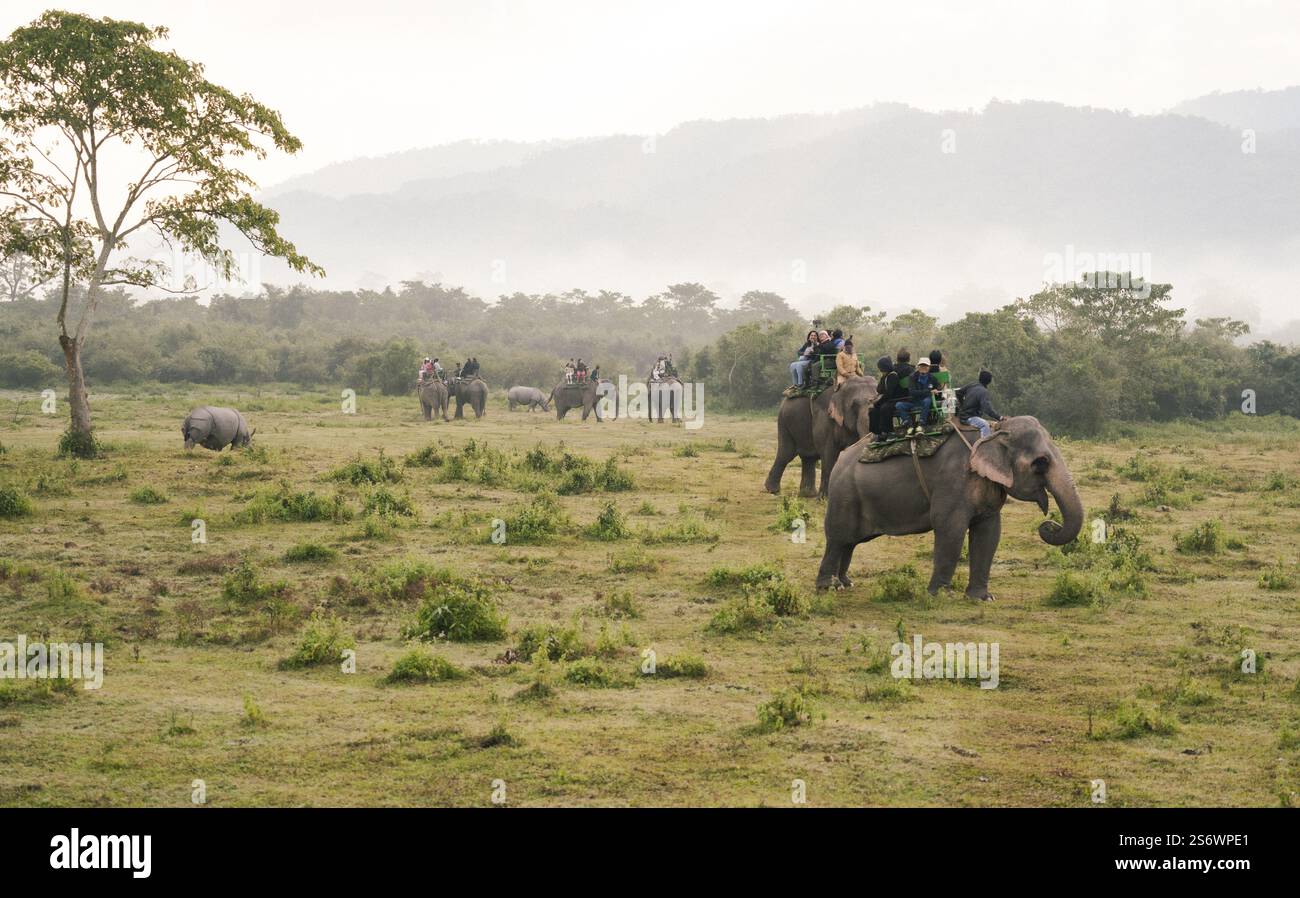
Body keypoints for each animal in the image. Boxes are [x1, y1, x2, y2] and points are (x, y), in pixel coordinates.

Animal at [815, 415, 1084, 599]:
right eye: (1041, 463)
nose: (1049, 525)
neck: (994, 430)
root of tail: (842, 458)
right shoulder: (953, 480)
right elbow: (950, 529)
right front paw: (941, 595)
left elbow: (989, 534)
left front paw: (983, 598)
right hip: (844, 495)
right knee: (838, 538)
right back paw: (828, 587)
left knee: (850, 542)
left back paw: (845, 583)